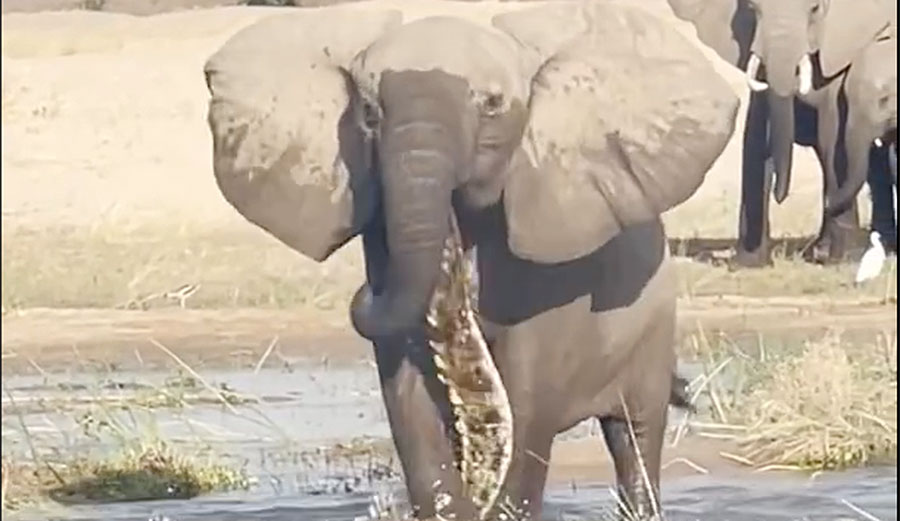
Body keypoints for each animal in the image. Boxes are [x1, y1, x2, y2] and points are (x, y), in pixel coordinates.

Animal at [204, 2, 738, 519]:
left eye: (493, 105)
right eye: (370, 112)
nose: (364, 291)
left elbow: (530, 392)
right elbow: (406, 390)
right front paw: (449, 508)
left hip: (652, 328)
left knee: (636, 434)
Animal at [668, 0, 895, 266]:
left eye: (815, 8)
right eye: (752, 7)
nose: (781, 194)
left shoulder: (839, 53)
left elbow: (832, 136)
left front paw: (843, 259)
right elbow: (755, 134)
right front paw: (747, 263)